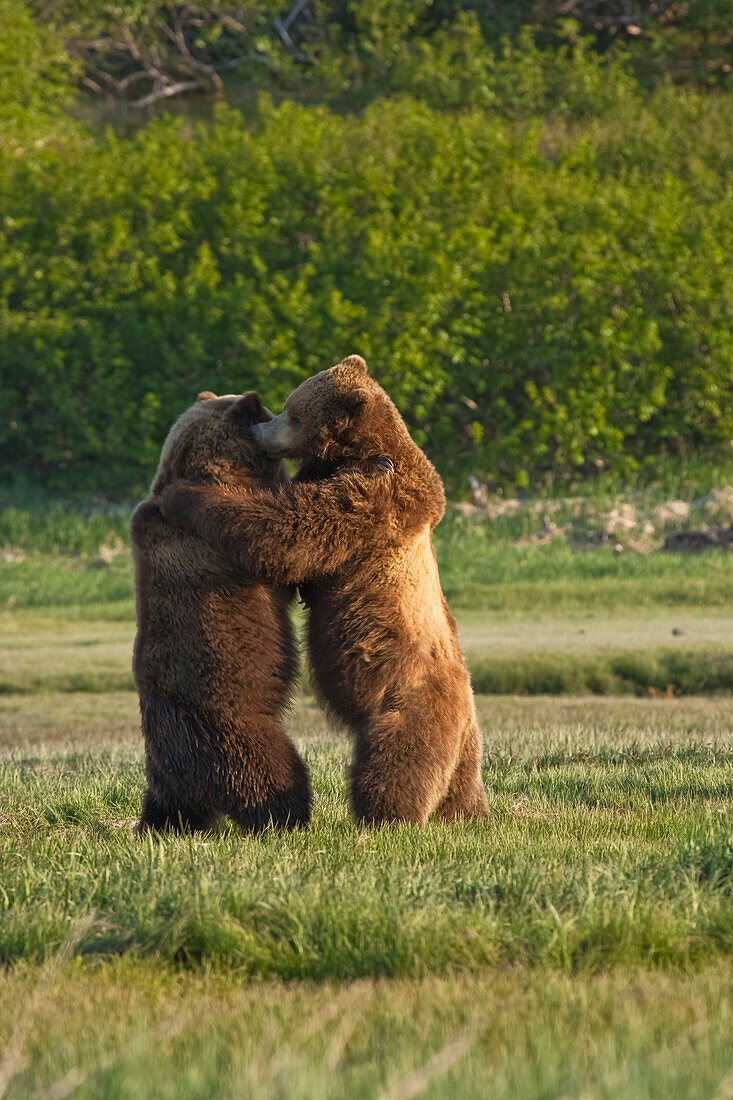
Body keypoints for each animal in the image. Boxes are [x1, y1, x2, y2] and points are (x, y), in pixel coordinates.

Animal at [131, 391, 308, 827]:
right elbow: (273, 543)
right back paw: (289, 817)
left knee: (170, 807)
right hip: (227, 733)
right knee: (266, 772)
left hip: (171, 771)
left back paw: (155, 826)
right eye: (269, 415)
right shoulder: (222, 535)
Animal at [159, 354, 488, 827]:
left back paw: (385, 817)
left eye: (293, 413)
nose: (260, 431)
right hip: (464, 745)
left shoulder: (376, 501)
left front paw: (185, 495)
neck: (355, 452)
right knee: (460, 781)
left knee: (397, 762)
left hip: (408, 701)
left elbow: (291, 532)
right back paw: (468, 813)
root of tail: (464, 705)